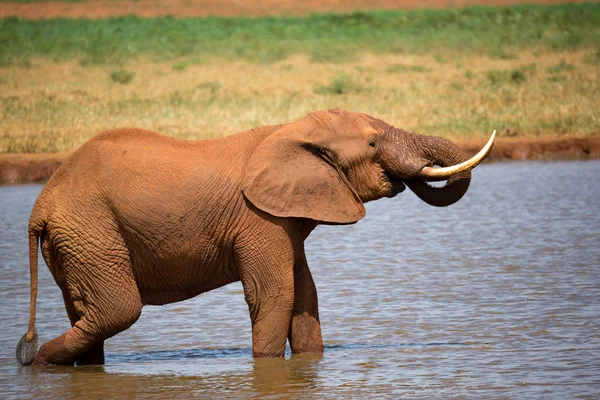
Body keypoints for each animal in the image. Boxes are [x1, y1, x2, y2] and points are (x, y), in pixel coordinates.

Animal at [16, 109, 494, 366]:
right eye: (374, 143)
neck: (291, 129)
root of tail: (41, 205)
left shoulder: (286, 217)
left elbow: (305, 296)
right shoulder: (259, 219)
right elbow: (275, 294)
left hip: (78, 241)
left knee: (88, 314)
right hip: (90, 229)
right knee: (116, 310)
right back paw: (35, 365)